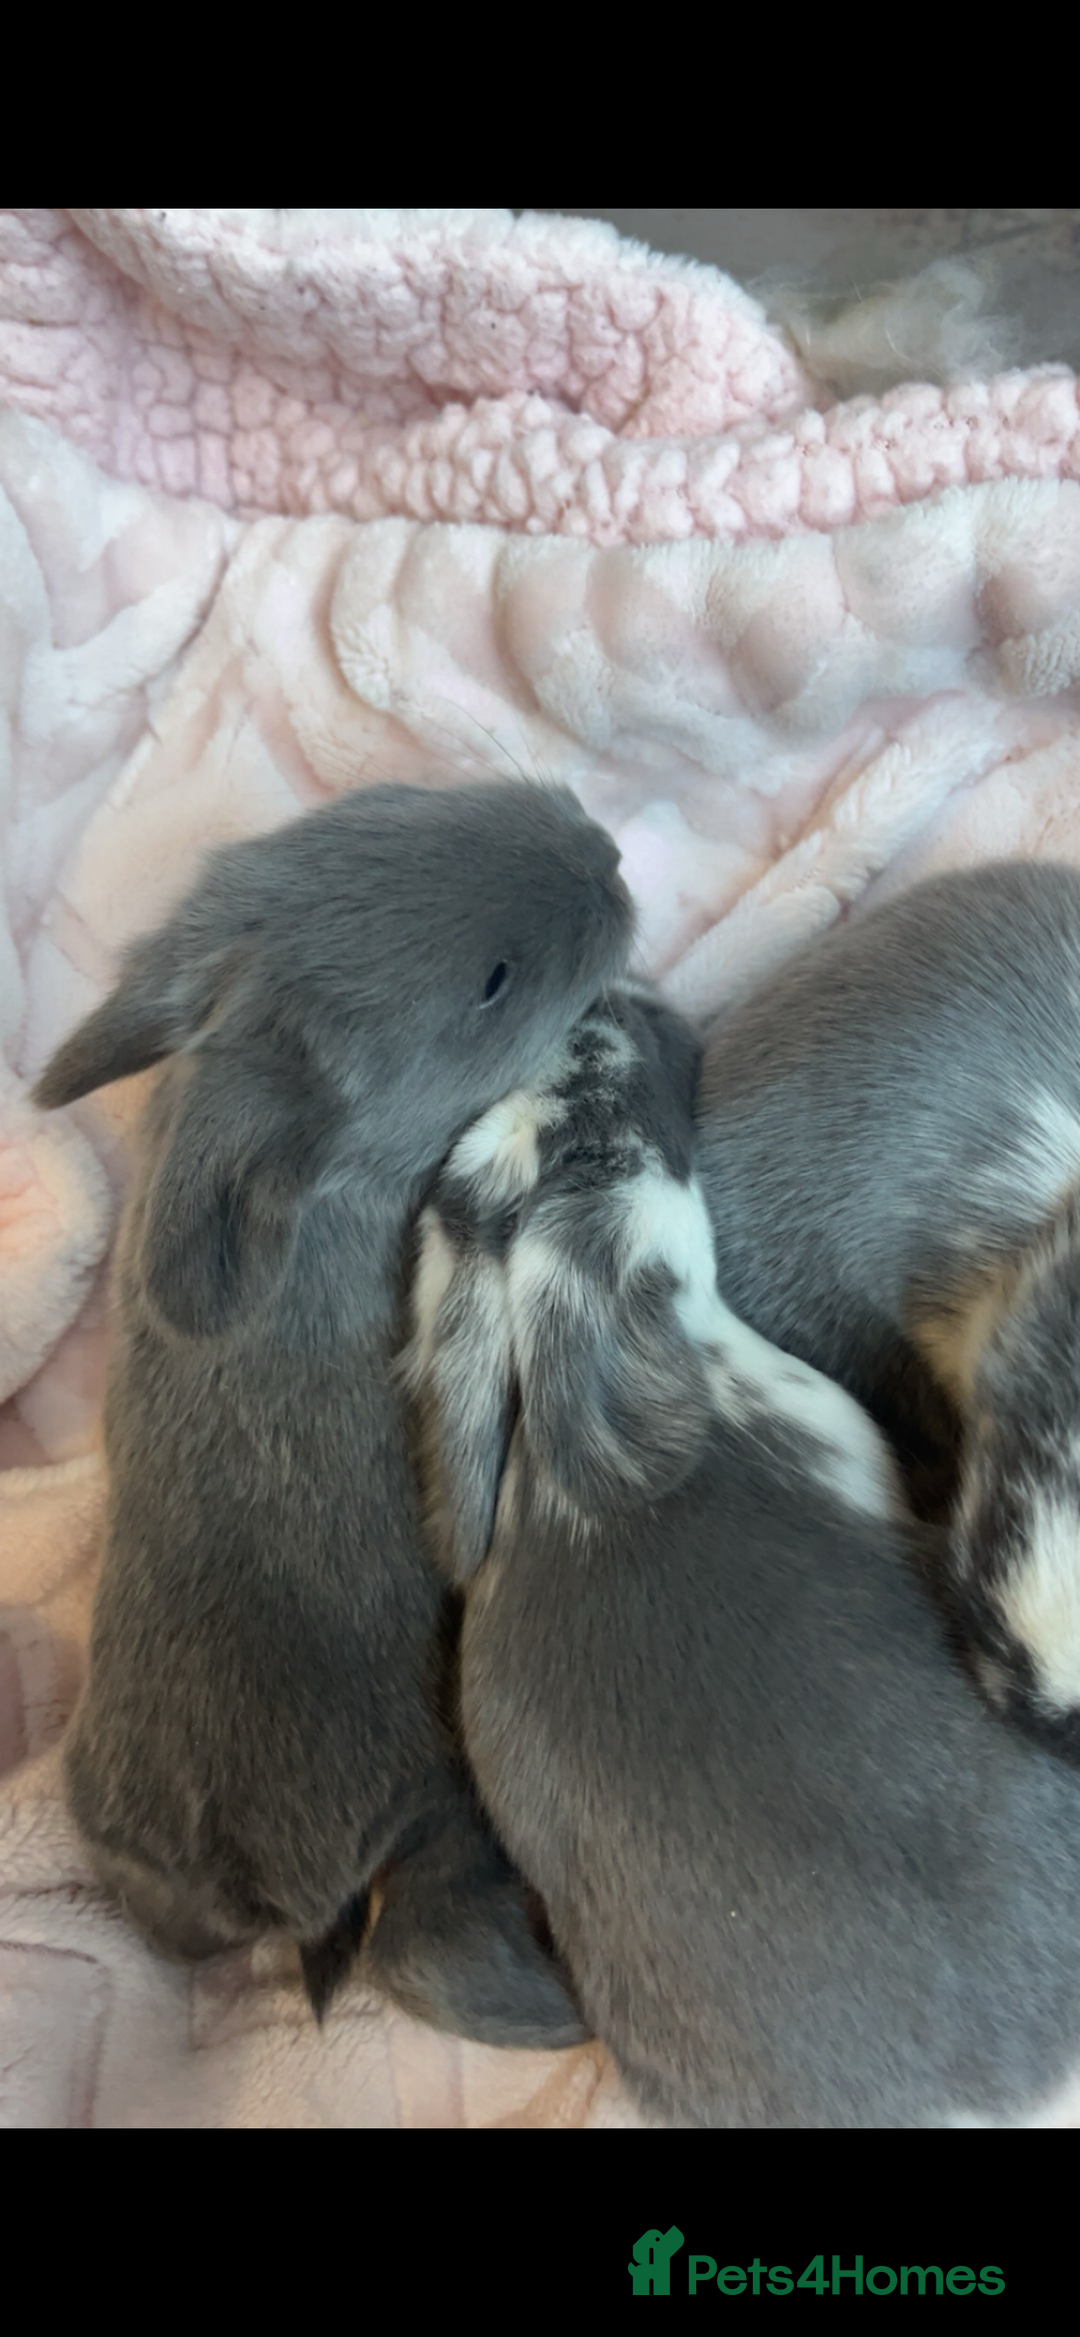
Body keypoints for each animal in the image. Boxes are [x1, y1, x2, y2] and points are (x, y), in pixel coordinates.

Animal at [32, 776, 633, 2034]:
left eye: (398, 801)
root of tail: (281, 1887)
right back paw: (554, 2011)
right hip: (442, 1794)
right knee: (424, 1939)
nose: (602, 852)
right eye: (492, 981)